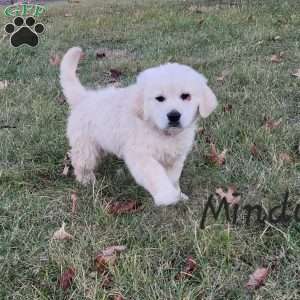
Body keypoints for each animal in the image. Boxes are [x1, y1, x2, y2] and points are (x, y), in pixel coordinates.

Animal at [59, 47, 217, 206]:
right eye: (160, 98)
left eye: (186, 96)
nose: (174, 116)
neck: (162, 133)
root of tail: (84, 97)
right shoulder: (140, 155)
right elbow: (155, 173)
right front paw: (167, 196)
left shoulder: (174, 158)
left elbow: (173, 178)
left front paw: (178, 194)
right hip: (85, 145)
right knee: (80, 162)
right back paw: (86, 180)